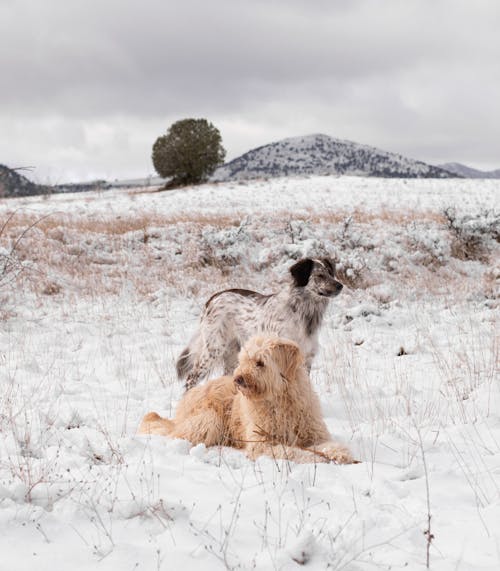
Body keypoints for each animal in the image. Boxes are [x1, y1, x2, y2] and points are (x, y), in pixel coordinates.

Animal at [139, 336, 354, 464]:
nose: (238, 379)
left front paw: (339, 453)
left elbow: (329, 444)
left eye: (260, 363)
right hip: (209, 420)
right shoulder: (260, 443)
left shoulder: (316, 434)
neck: (280, 401)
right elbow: (293, 452)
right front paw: (316, 458)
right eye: (242, 361)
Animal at [177, 258, 344, 388]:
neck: (302, 311)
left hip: (232, 354)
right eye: (320, 275)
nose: (340, 285)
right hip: (214, 349)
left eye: (331, 273)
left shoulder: (306, 359)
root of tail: (214, 297)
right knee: (191, 380)